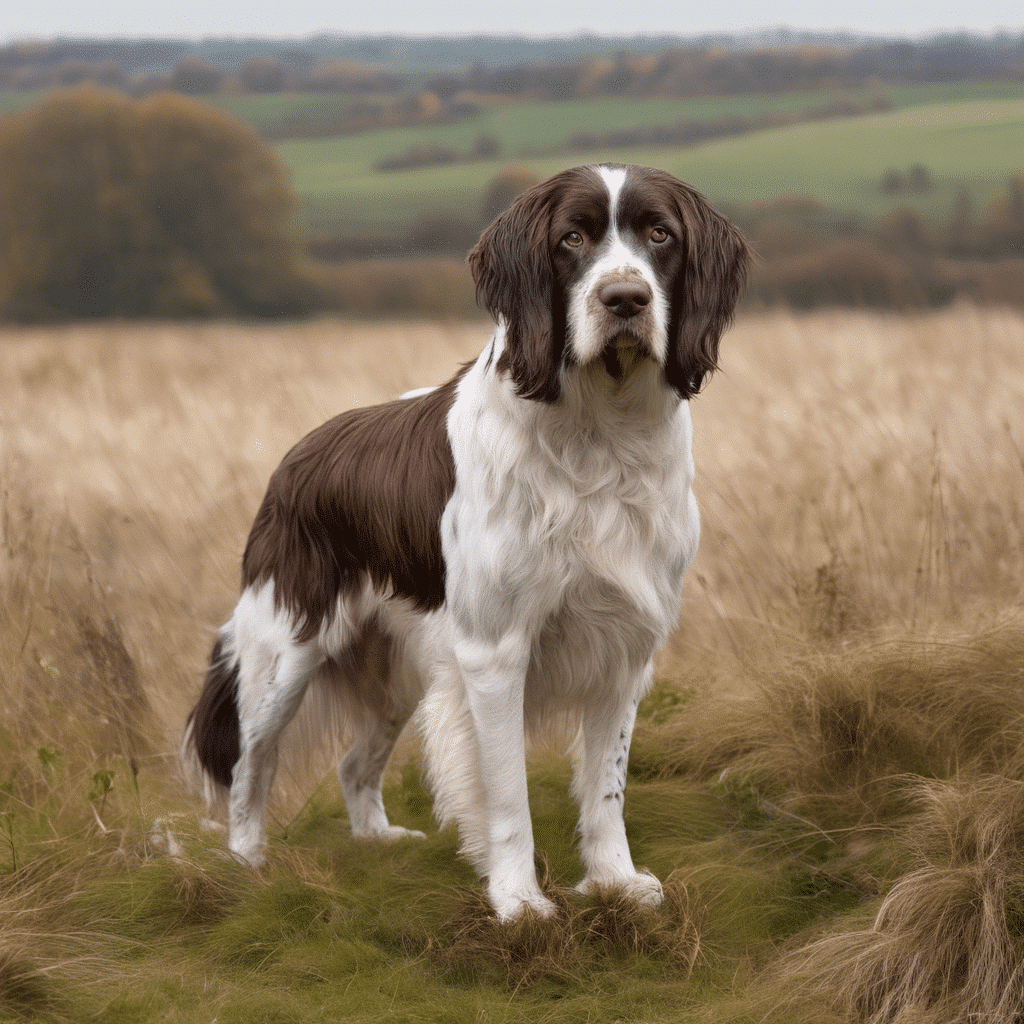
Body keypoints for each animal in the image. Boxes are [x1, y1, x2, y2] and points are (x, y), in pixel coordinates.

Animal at [184, 163, 749, 925]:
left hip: (394, 672)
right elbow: (508, 793)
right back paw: (246, 863)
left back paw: (378, 841)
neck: (599, 437)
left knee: (353, 764)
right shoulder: (494, 652)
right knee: (252, 764)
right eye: (571, 239)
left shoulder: (624, 646)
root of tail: (296, 455)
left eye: (661, 235)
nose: (625, 299)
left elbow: (606, 788)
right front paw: (518, 900)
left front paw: (614, 882)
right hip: (285, 650)